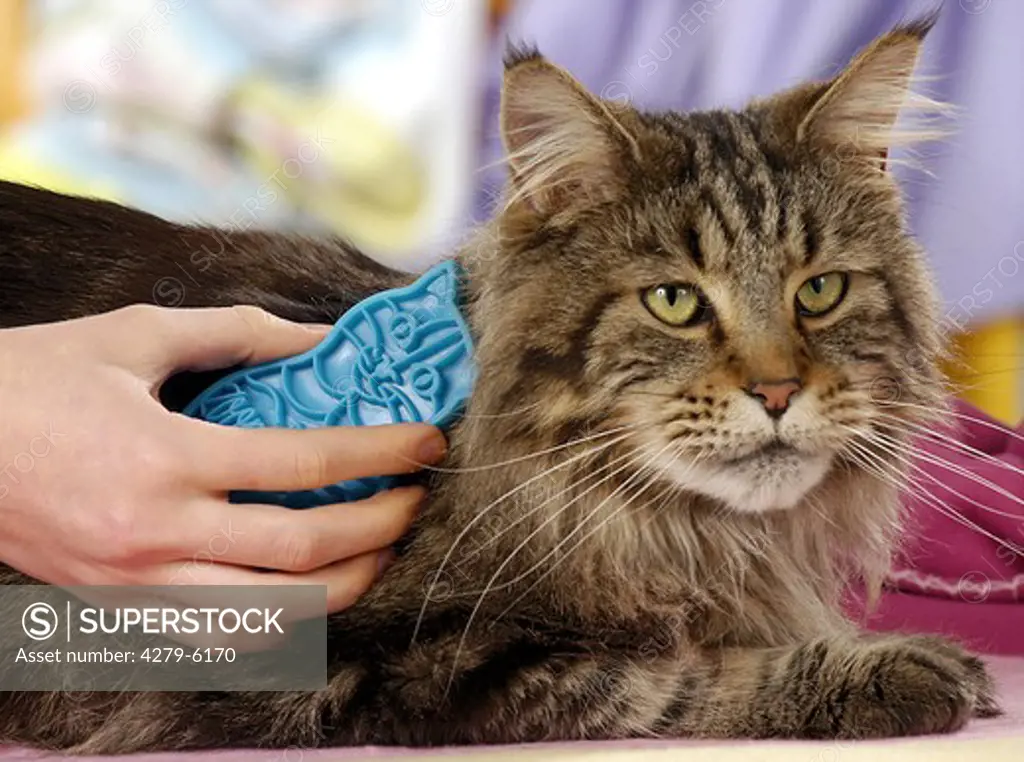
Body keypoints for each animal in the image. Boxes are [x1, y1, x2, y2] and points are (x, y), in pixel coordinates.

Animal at [0, 17, 995, 757]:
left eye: (819, 292)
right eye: (674, 301)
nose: (781, 390)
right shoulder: (395, 665)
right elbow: (667, 677)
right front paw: (893, 668)